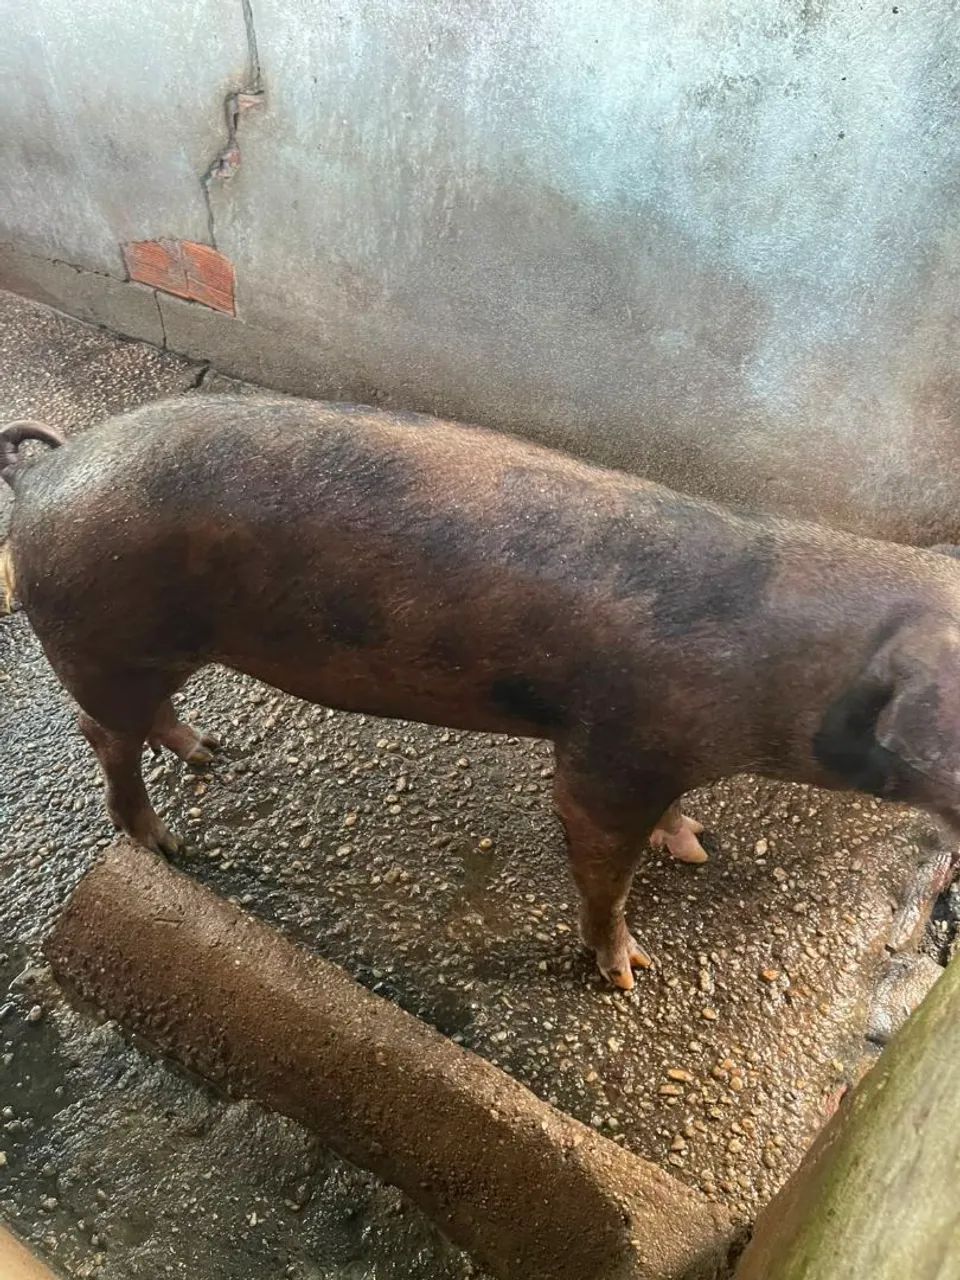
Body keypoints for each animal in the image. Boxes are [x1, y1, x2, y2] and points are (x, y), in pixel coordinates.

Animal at [3, 394, 960, 989]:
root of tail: (47, 473)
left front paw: (694, 848)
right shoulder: (610, 753)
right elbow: (600, 863)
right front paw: (628, 974)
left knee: (150, 718)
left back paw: (212, 754)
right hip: (101, 638)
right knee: (102, 734)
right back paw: (165, 844)